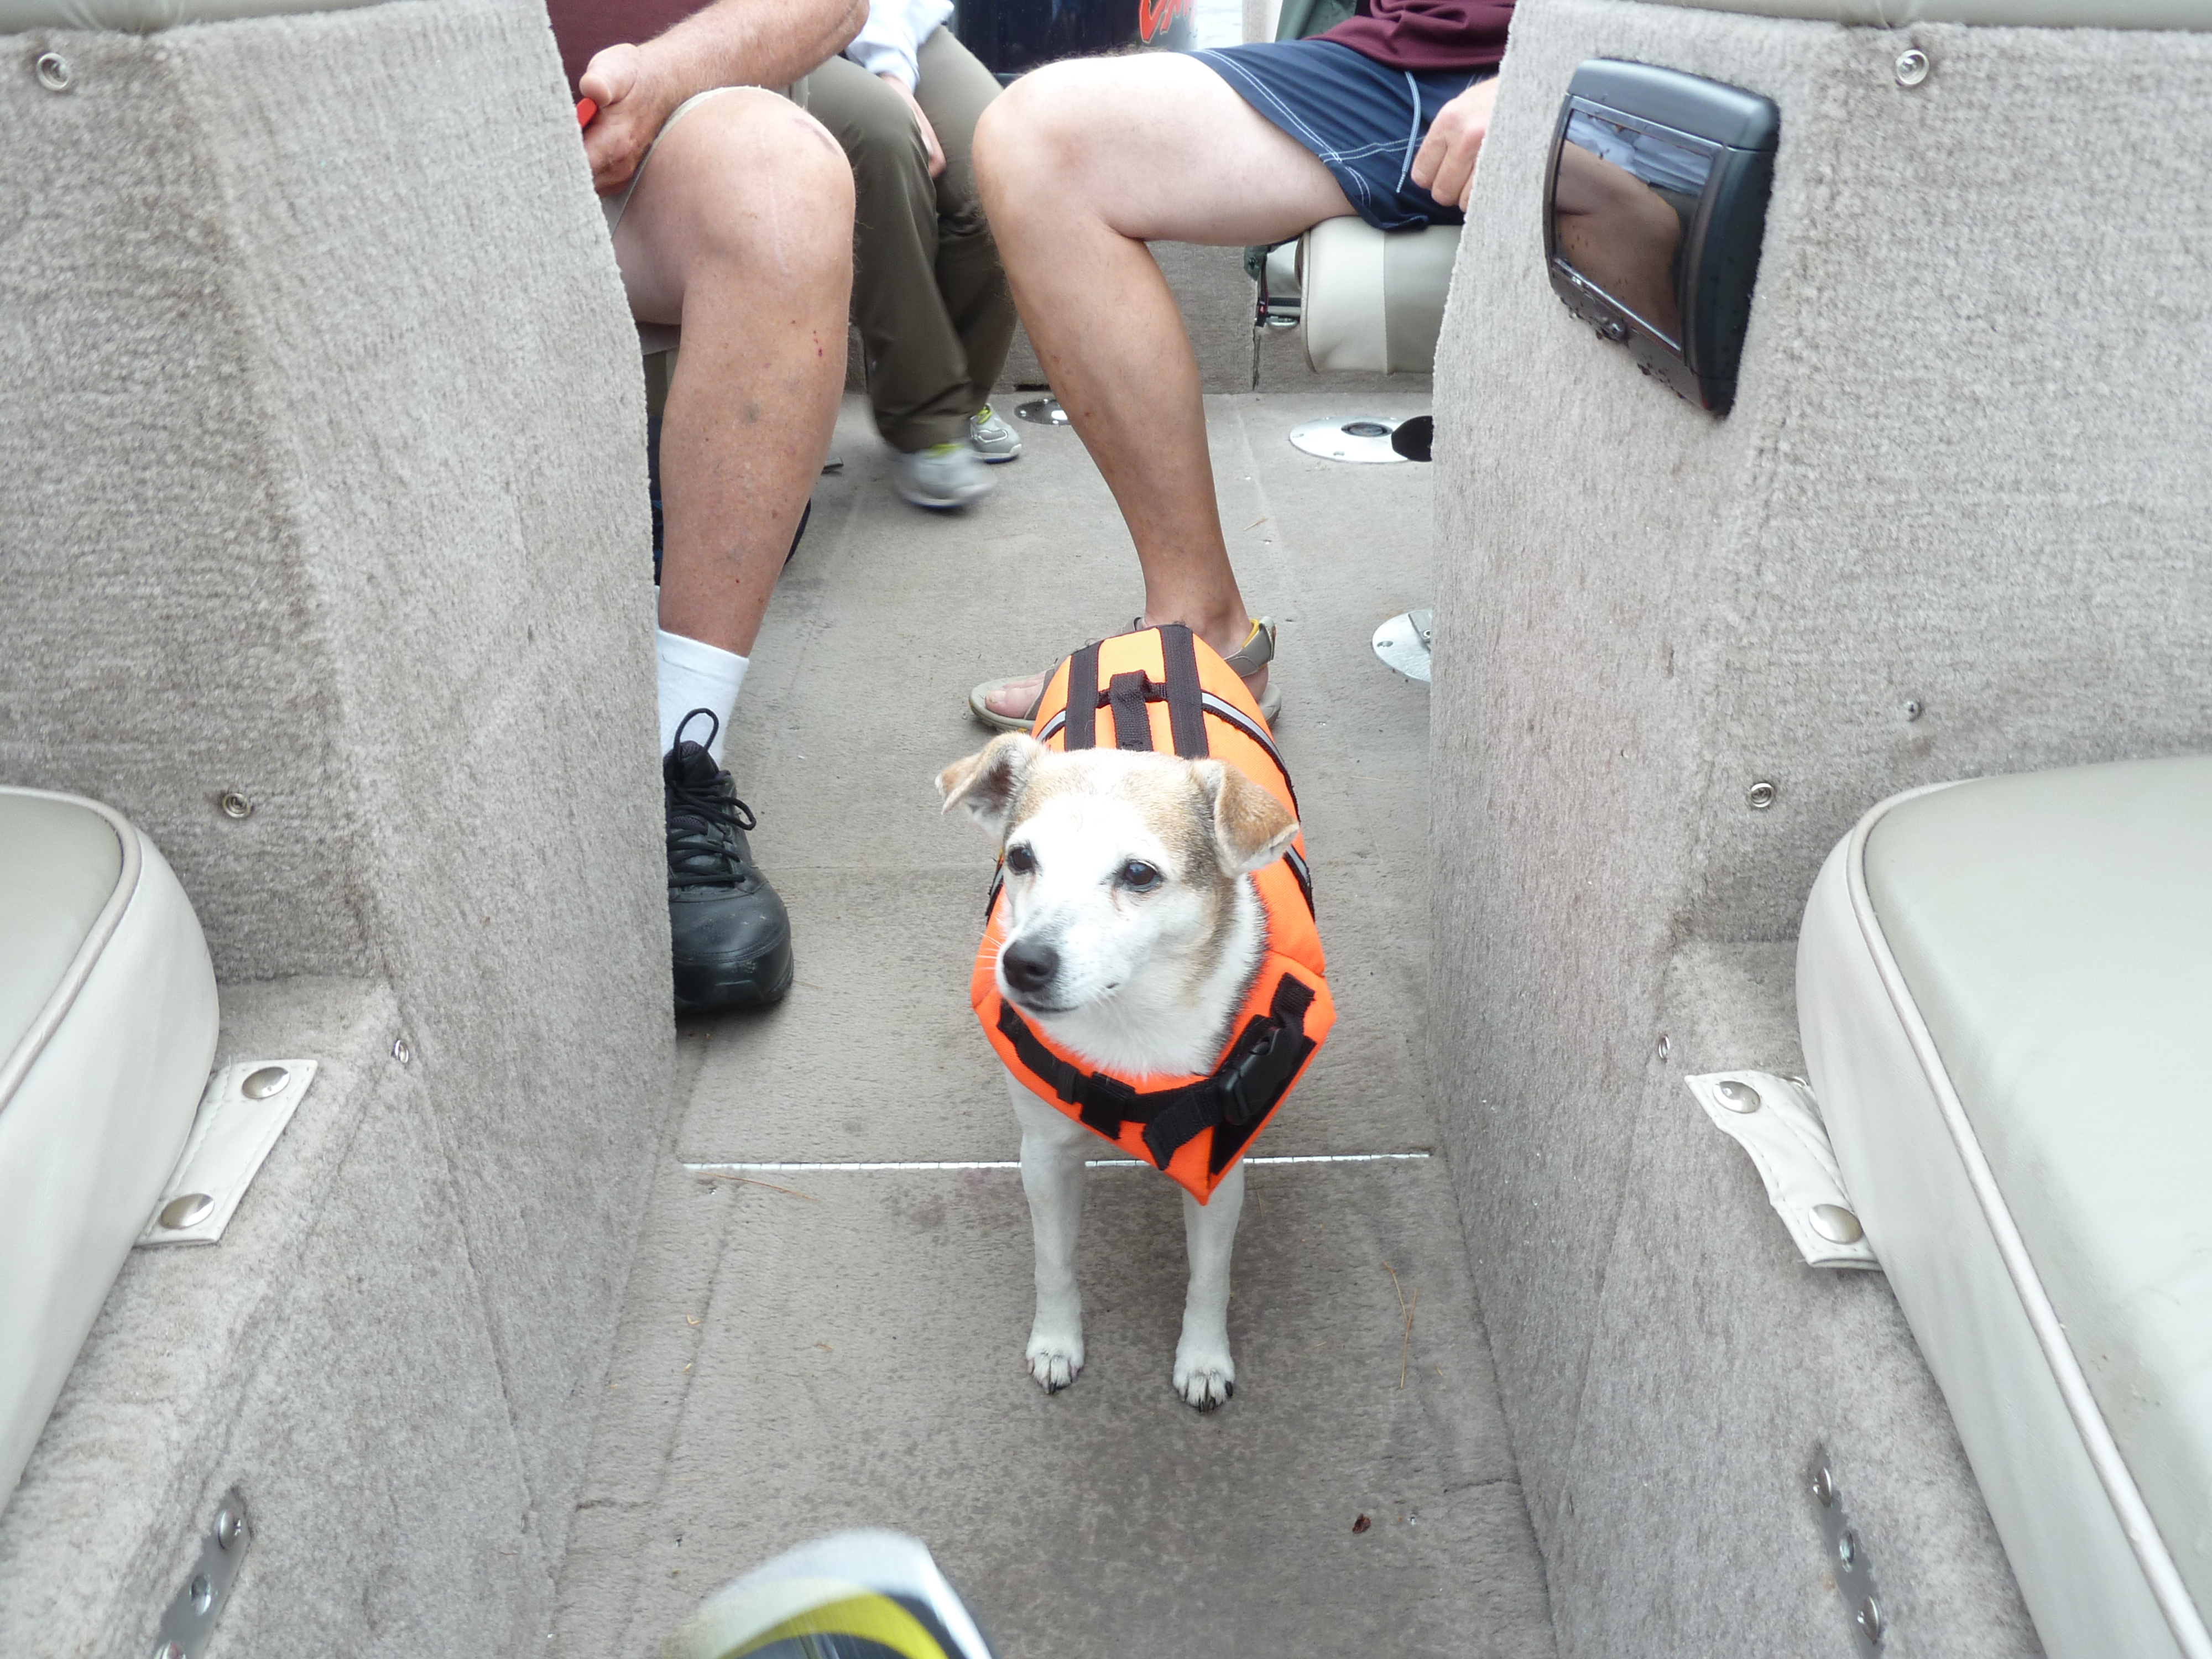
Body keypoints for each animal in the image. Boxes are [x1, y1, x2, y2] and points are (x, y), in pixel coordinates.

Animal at [936, 730, 1306, 1409]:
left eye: (1139, 874)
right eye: (1020, 859)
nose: (1023, 962)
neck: (1127, 1019)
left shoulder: (1218, 1172)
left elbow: (1209, 1276)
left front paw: (1203, 1358)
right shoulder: (1046, 1157)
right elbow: (1053, 1262)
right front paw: (1057, 1342)